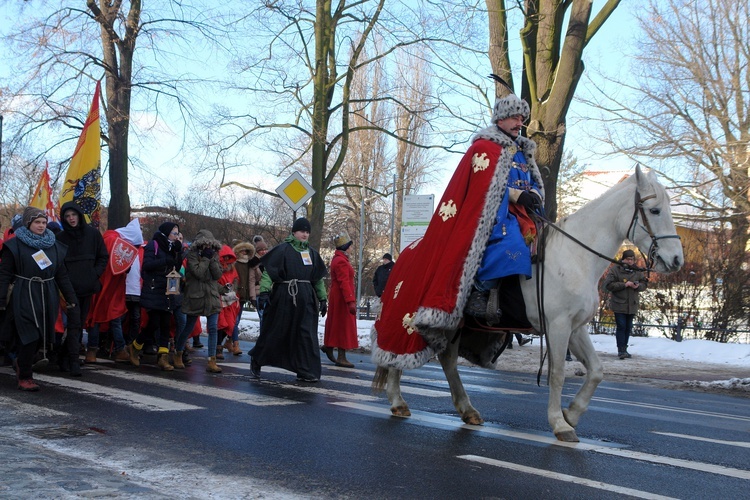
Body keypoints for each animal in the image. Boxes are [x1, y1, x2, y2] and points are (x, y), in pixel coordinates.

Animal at [374, 167, 684, 442]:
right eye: (655, 211)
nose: (677, 260)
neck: (575, 256)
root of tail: (407, 251)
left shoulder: (576, 328)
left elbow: (596, 371)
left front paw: (572, 413)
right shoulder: (558, 326)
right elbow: (557, 374)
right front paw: (560, 423)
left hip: (454, 325)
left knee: (448, 360)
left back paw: (467, 409)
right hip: (410, 317)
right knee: (396, 356)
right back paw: (398, 401)